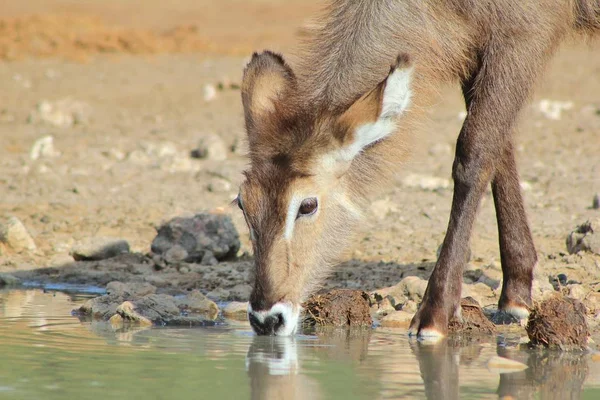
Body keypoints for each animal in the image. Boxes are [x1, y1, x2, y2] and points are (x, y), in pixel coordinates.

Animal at [236, 0, 600, 338]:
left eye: (307, 205)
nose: (267, 318)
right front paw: (516, 295)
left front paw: (434, 313)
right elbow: (502, 148)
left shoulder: (524, 35)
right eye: (242, 203)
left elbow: (475, 153)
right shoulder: (473, 45)